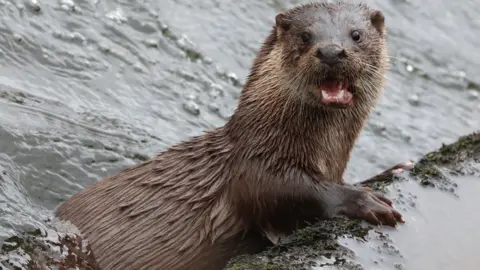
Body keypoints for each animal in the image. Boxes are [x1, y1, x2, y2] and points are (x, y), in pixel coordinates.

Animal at [55, 2, 408, 270]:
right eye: (306, 36)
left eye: (356, 35)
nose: (332, 51)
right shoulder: (257, 167)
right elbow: (295, 192)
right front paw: (366, 200)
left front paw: (392, 170)